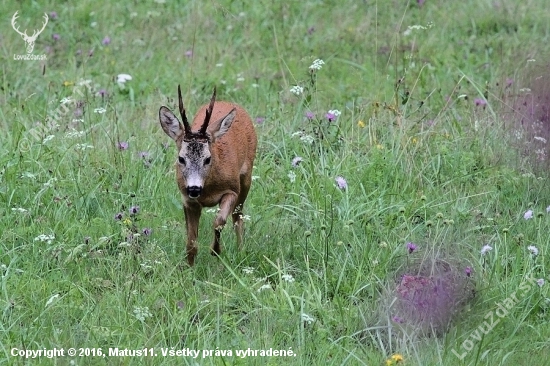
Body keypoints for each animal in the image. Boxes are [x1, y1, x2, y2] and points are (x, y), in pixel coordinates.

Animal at [157, 86, 256, 266]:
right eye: (181, 158)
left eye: (207, 159)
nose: (194, 189)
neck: (208, 190)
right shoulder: (187, 200)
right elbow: (191, 241)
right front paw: (188, 267)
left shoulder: (232, 190)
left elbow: (219, 221)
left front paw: (215, 251)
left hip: (246, 177)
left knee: (237, 216)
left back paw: (241, 251)